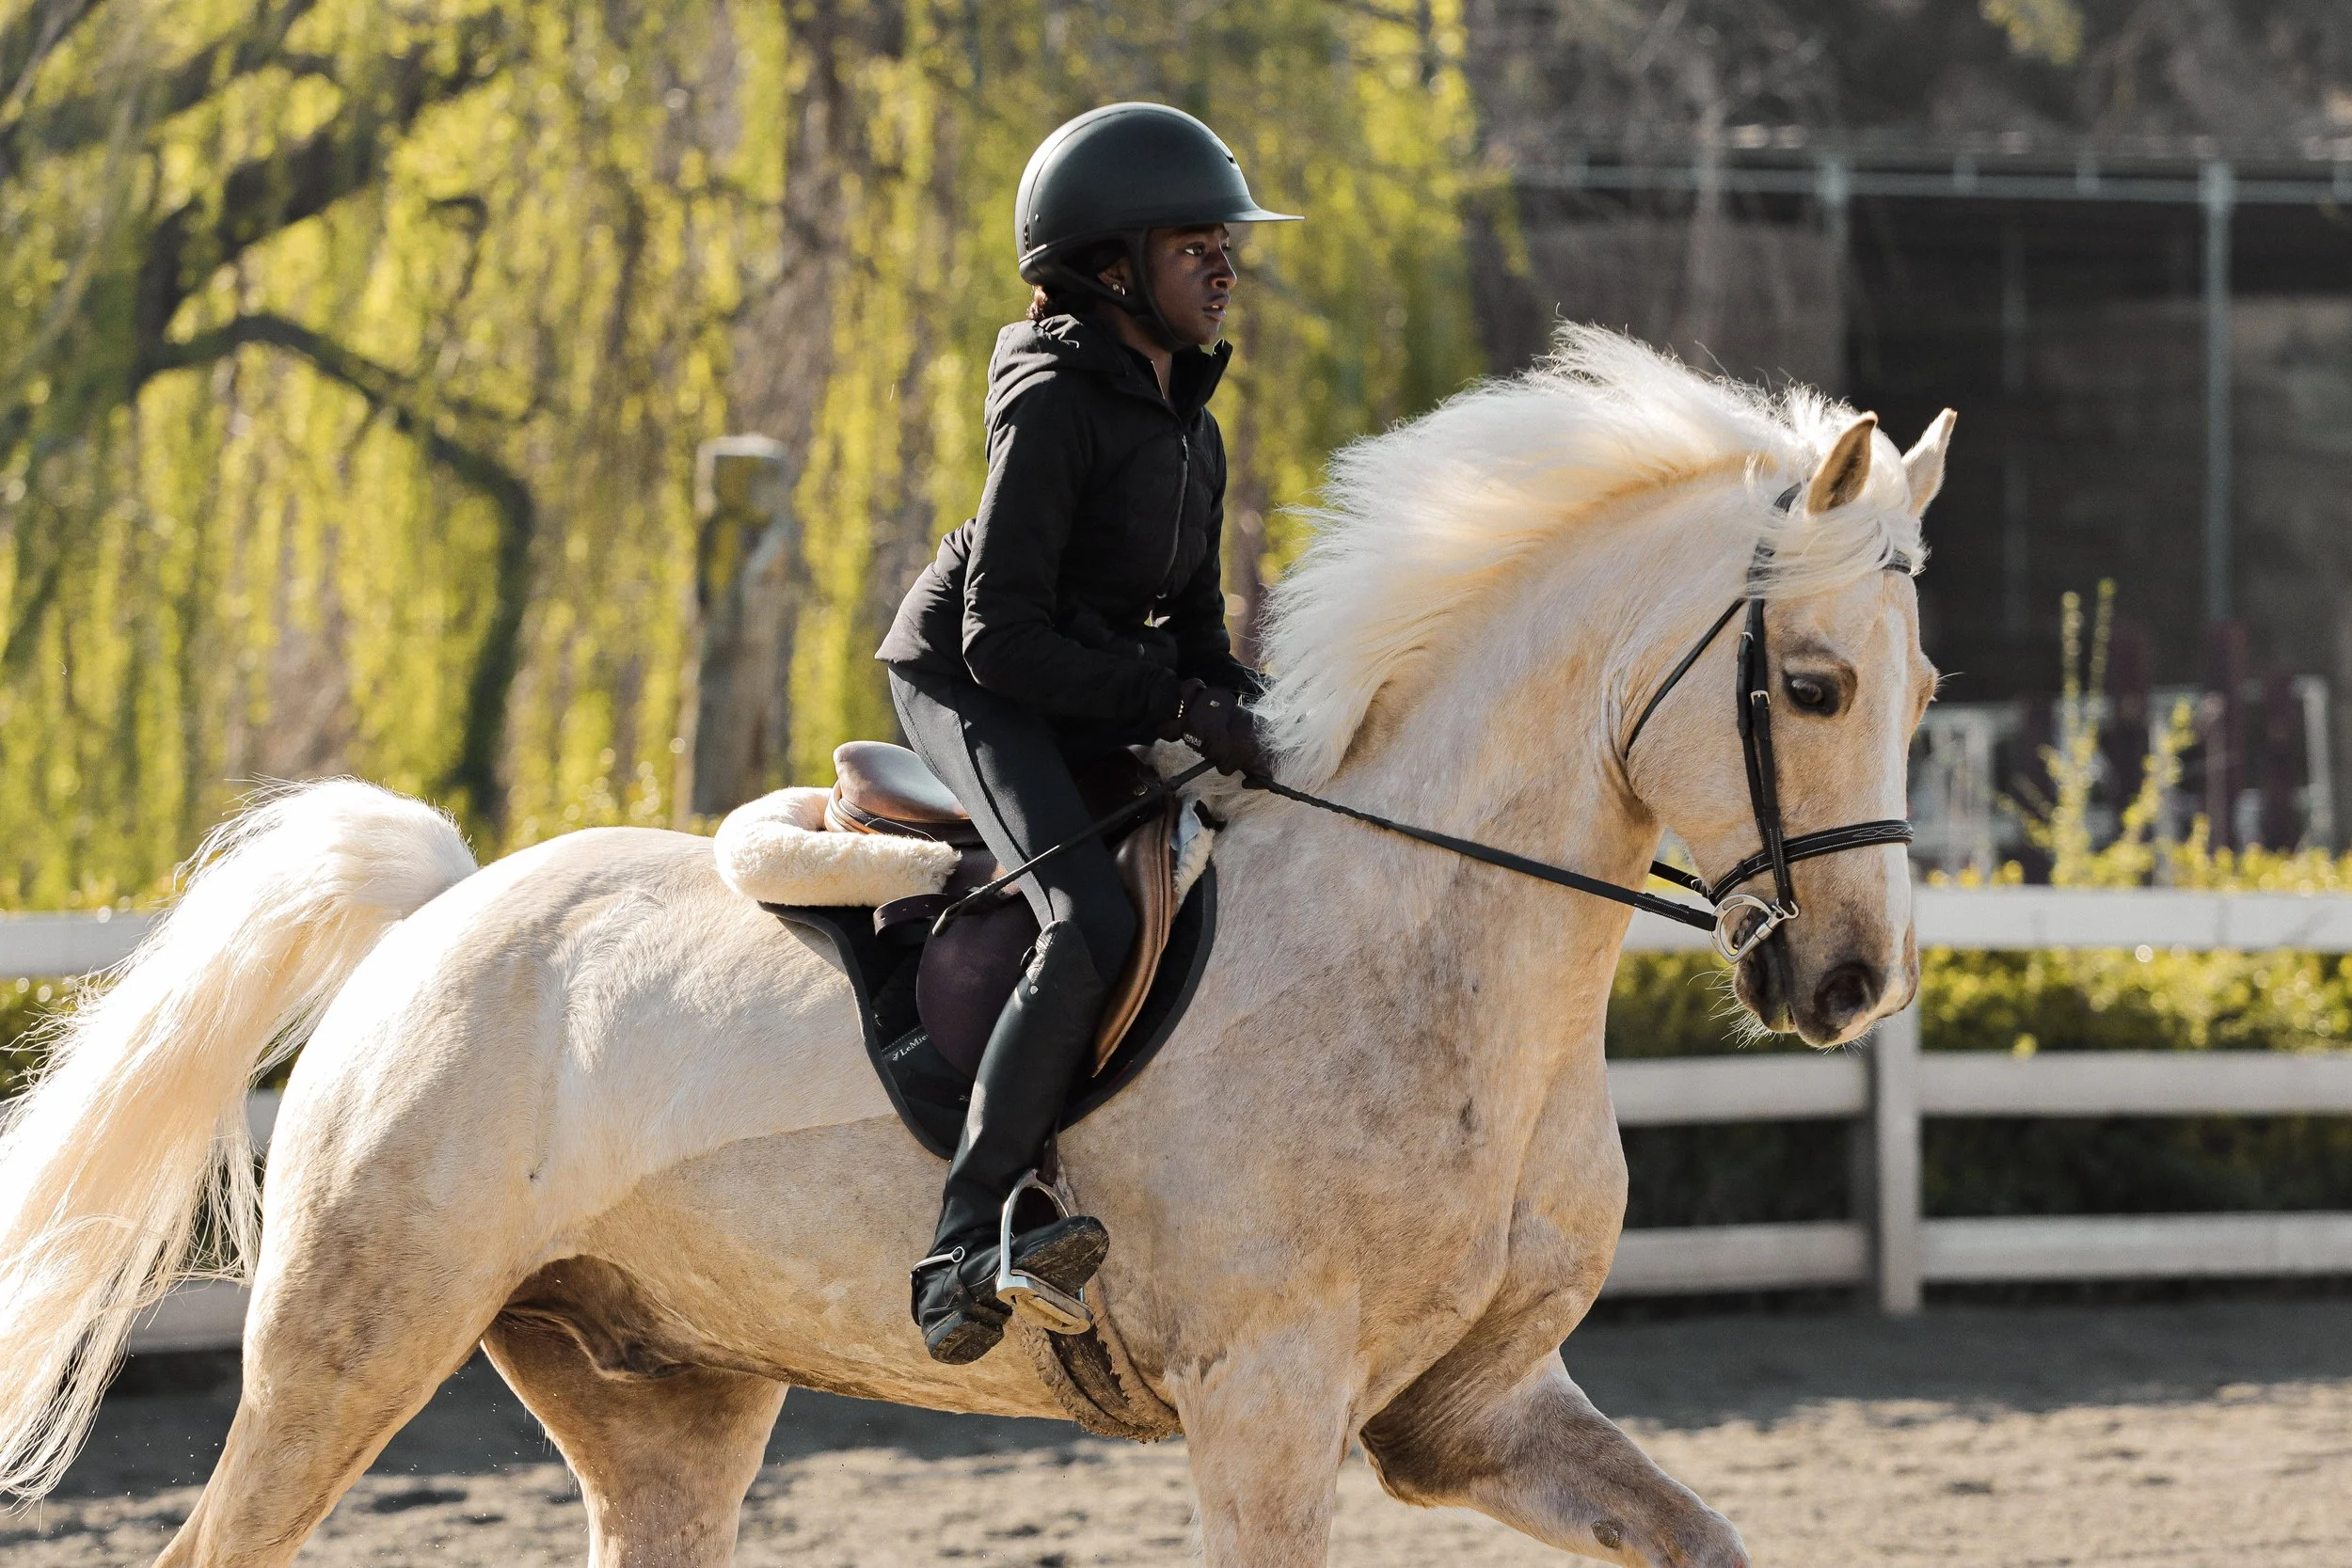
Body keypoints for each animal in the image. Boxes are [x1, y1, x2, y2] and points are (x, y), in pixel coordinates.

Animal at [0, 326, 1947, 1567]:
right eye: (1811, 686)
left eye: (1922, 691)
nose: (1851, 984)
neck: (1448, 962)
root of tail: (439, 914)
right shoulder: (1267, 1406)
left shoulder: (1476, 1408)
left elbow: (1702, 1537)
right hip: (352, 1338)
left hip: (665, 1393)